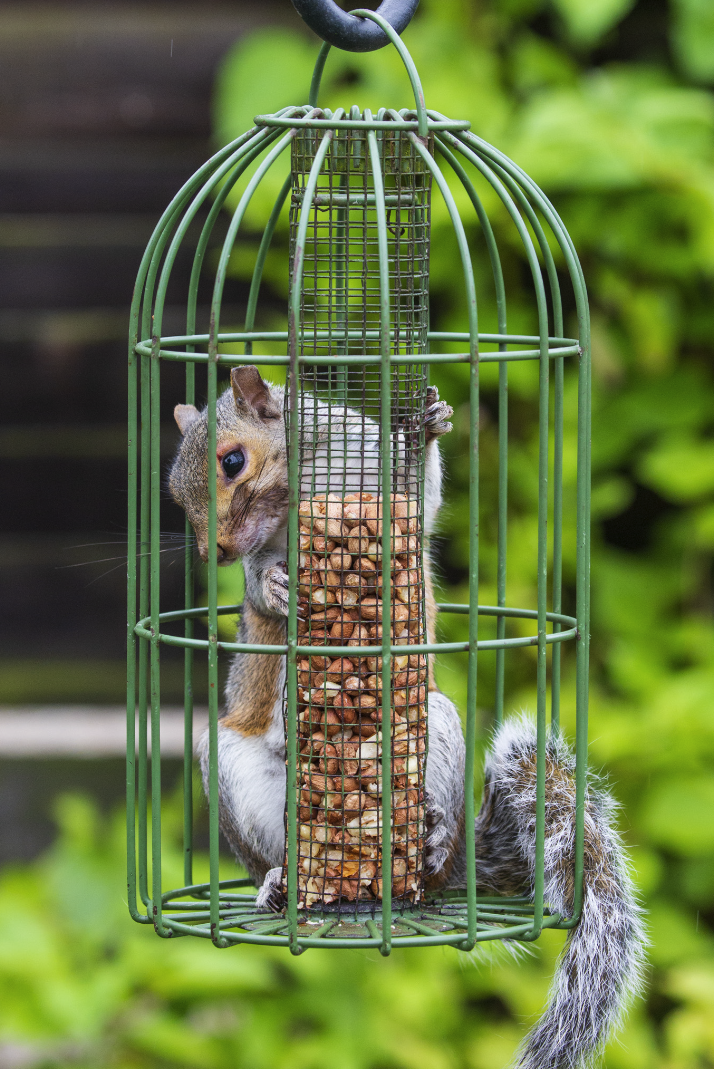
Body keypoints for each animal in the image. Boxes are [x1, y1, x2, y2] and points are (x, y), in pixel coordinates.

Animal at [169, 365, 645, 1069]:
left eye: (233, 461)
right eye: (176, 493)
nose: (216, 553)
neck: (308, 470)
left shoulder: (379, 476)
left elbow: (422, 492)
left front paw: (428, 426)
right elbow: (258, 585)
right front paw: (275, 587)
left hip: (435, 726)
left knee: (434, 845)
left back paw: (434, 843)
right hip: (229, 766)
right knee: (273, 853)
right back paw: (279, 881)